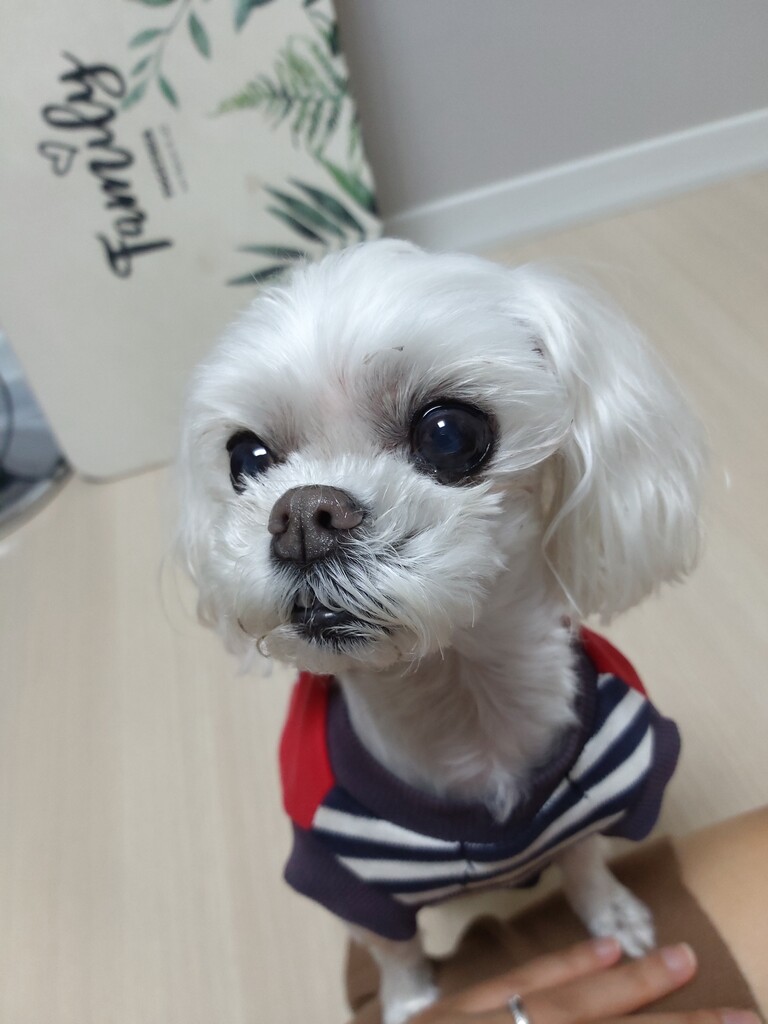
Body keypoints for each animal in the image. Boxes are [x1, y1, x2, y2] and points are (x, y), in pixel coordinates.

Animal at [178, 240, 705, 1024]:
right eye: (248, 459)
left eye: (449, 432)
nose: (302, 516)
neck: (459, 695)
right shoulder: (347, 877)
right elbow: (394, 949)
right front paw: (410, 1003)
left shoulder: (599, 787)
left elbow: (583, 859)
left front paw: (612, 916)